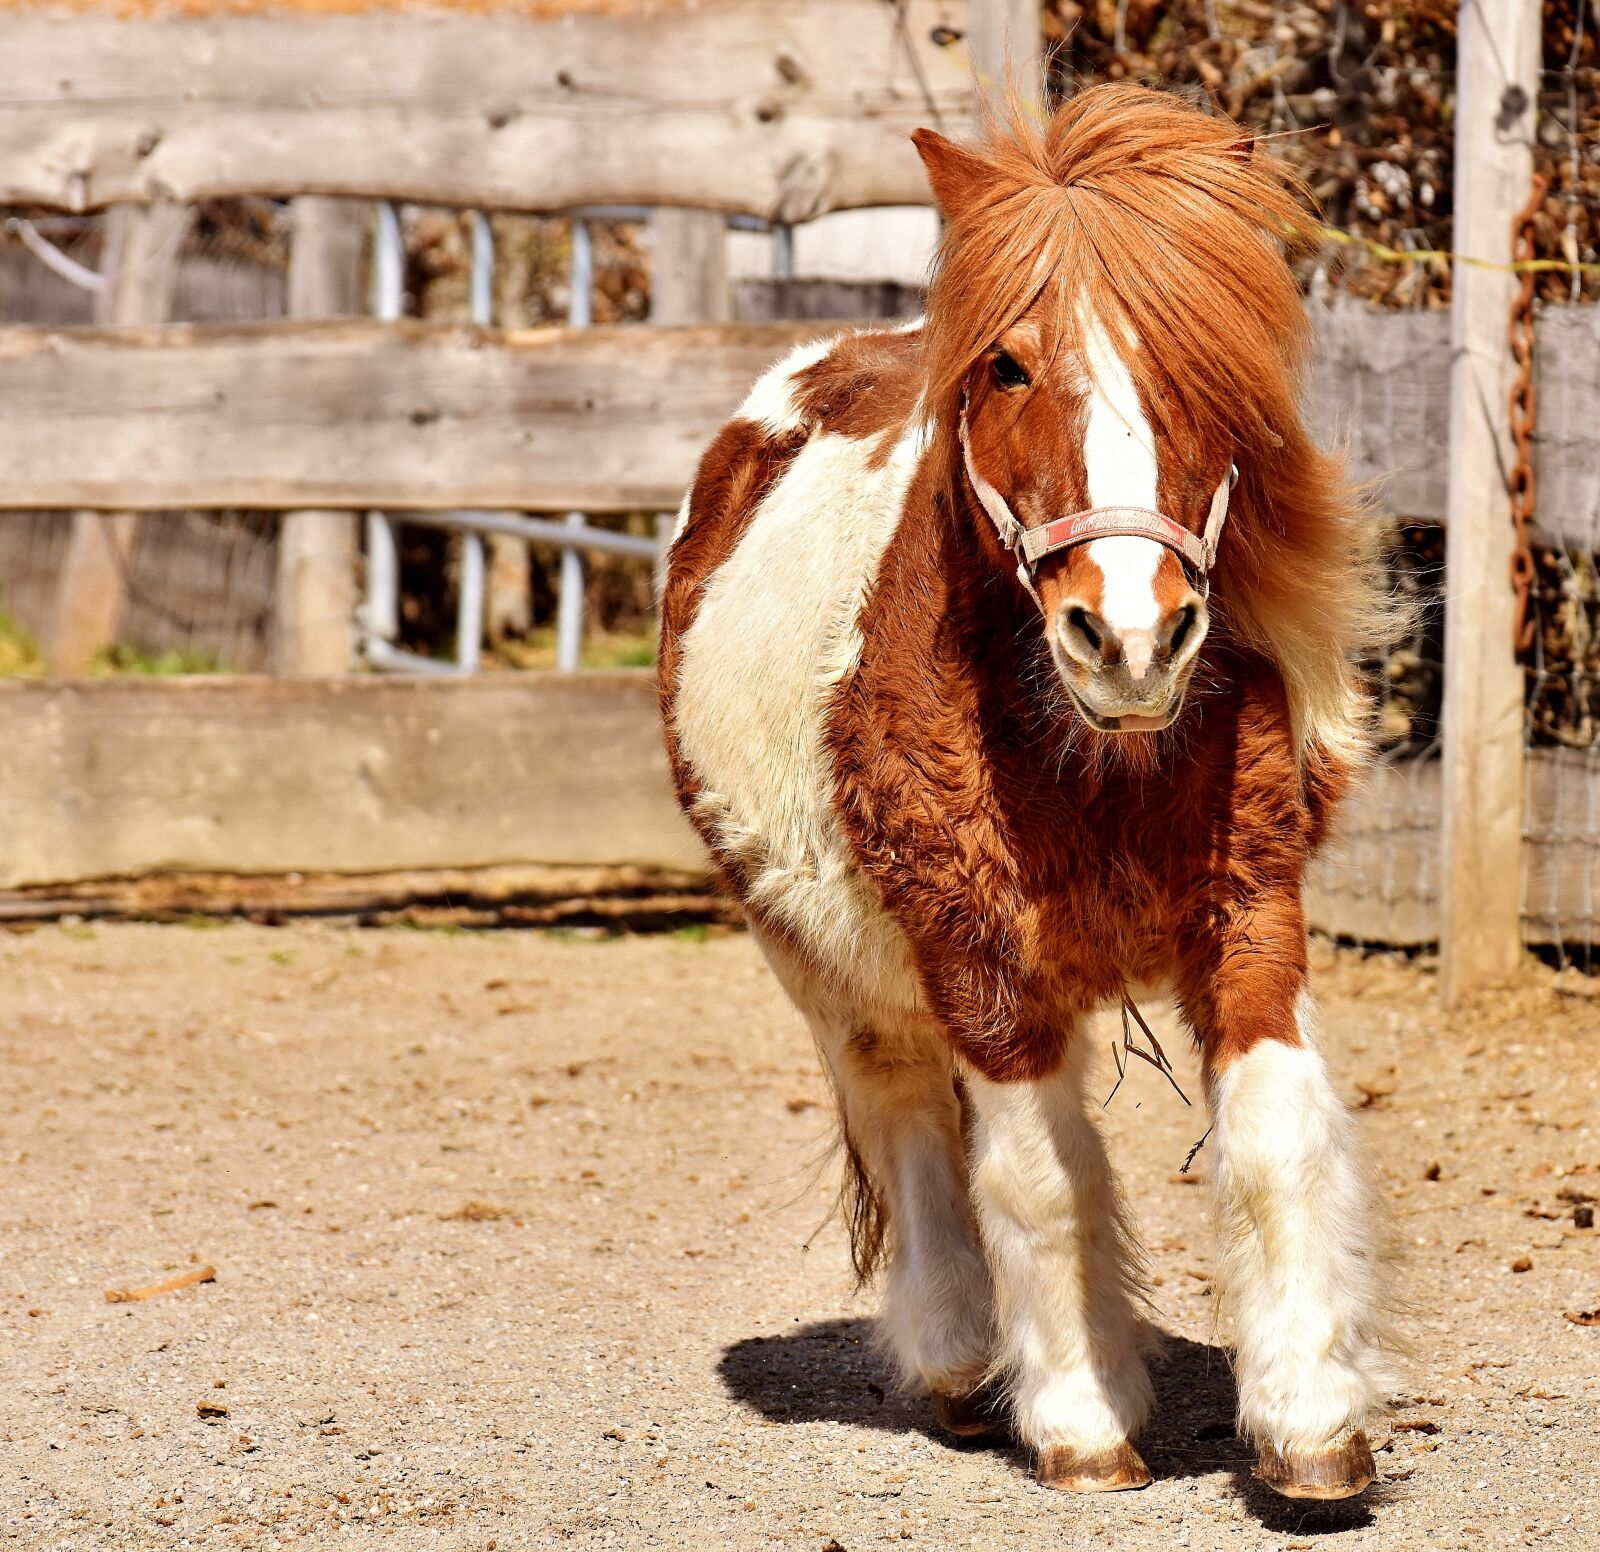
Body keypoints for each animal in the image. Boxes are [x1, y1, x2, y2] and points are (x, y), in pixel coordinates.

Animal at [658, 83, 1395, 1502]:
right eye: (1007, 365)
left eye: (1204, 363)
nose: (1129, 634)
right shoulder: (980, 963)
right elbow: (1041, 1181)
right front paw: (1081, 1420)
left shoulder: (1251, 918)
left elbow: (1272, 1138)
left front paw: (1309, 1426)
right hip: (819, 959)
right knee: (905, 1117)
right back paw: (958, 1361)